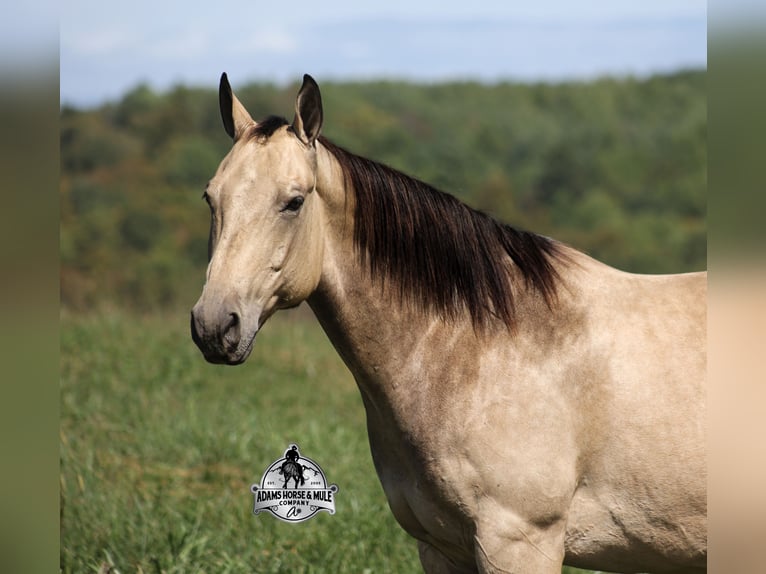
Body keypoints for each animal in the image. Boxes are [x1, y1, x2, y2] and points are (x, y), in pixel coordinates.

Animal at [191, 73, 706, 573]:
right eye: (210, 198)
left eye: (294, 202)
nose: (214, 326)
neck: (481, 348)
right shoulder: (441, 547)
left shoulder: (520, 542)